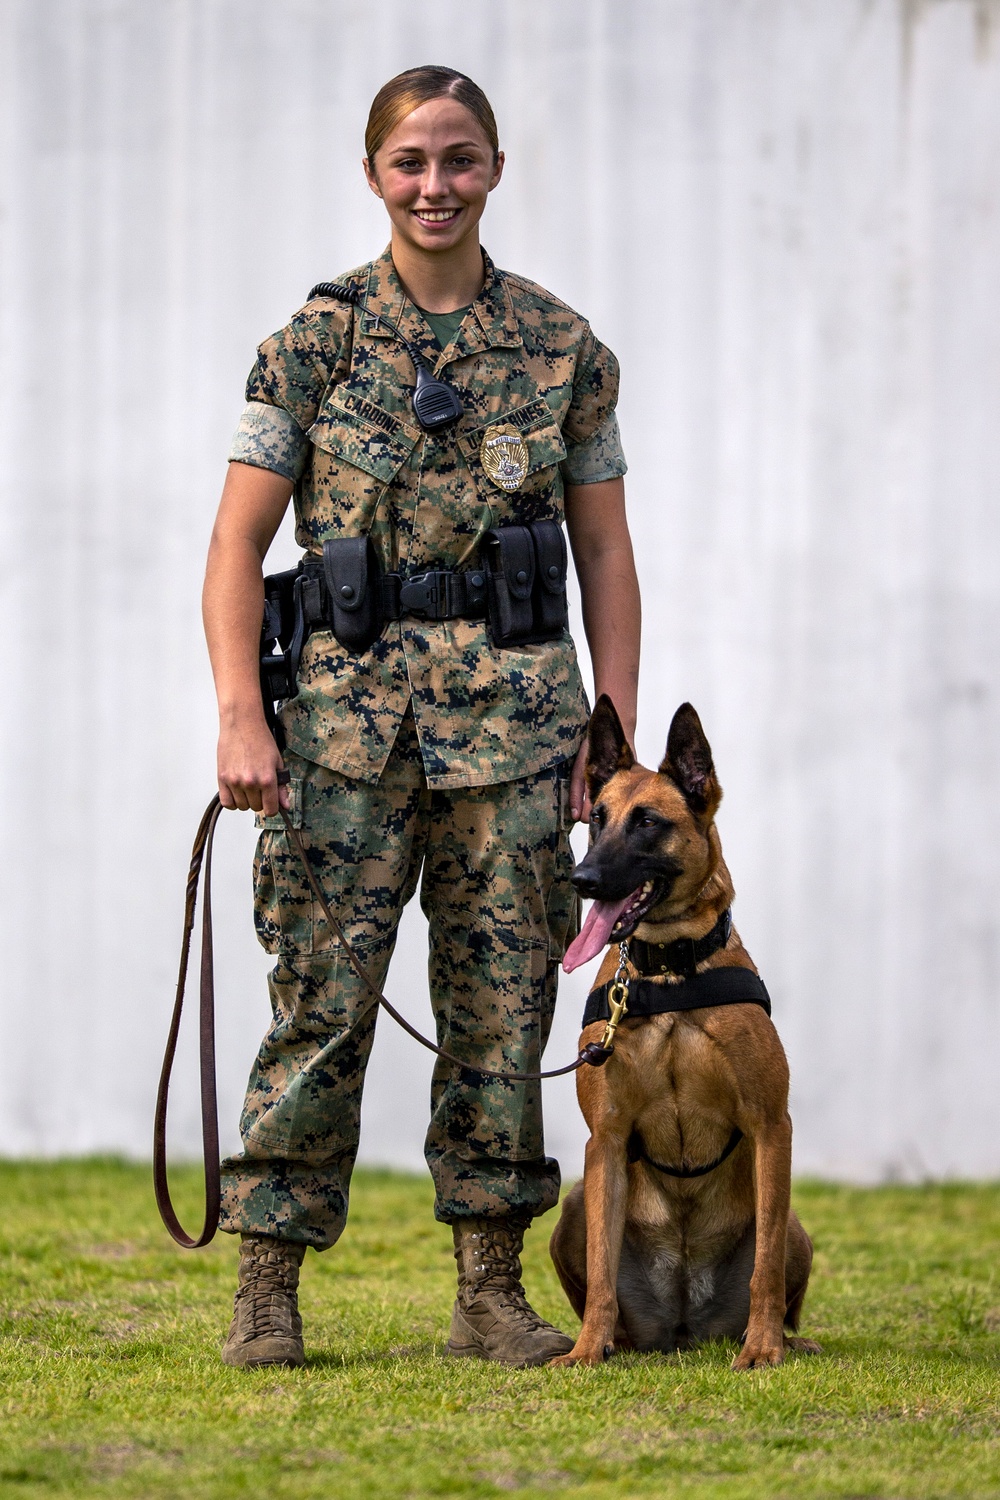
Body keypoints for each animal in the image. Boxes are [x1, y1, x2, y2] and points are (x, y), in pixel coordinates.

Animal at [548, 696, 821, 1368]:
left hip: (795, 1222)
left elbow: (765, 1271)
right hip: (574, 1204)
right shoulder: (605, 1140)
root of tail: (682, 1328)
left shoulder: (772, 1127)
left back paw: (786, 1339)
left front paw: (763, 1350)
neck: (668, 973)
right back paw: (613, 1341)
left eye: (647, 823)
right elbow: (601, 1271)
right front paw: (586, 1352)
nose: (581, 880)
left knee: (777, 1264)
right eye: (597, 820)